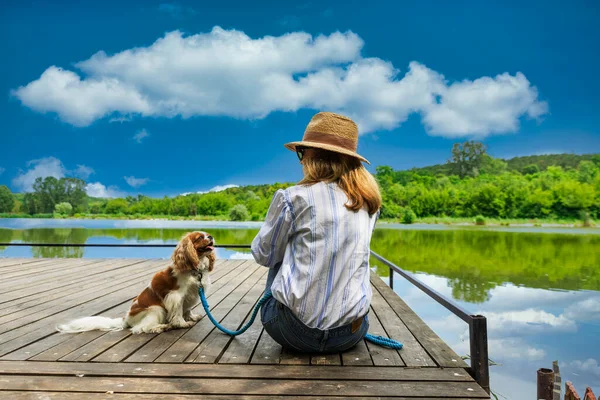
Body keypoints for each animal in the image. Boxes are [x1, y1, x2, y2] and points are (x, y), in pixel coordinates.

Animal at [55, 231, 216, 334]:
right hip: (156, 309)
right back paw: (160, 327)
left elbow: (187, 309)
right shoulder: (176, 296)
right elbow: (178, 313)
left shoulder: (192, 293)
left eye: (207, 234)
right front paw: (182, 323)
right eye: (200, 237)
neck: (194, 267)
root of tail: (126, 319)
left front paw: (191, 317)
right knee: (140, 328)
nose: (211, 236)